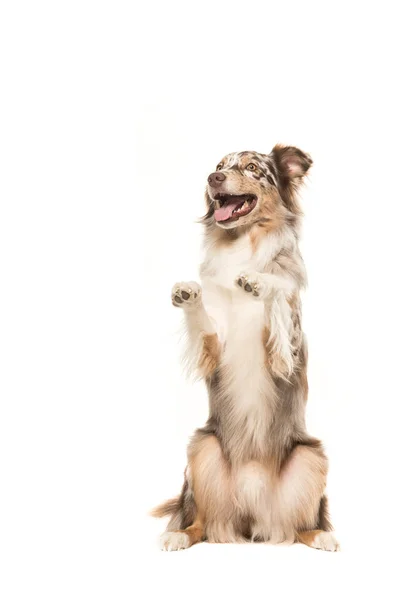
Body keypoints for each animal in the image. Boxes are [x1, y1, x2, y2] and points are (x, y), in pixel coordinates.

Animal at [152, 145, 340, 552]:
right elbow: (205, 323)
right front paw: (187, 292)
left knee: (300, 525)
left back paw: (323, 536)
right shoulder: (212, 351)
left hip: (311, 456)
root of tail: (254, 520)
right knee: (201, 523)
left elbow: (277, 298)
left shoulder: (285, 354)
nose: (213, 178)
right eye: (219, 166)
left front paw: (260, 282)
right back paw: (178, 534)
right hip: (201, 448)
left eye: (252, 167)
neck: (243, 241)